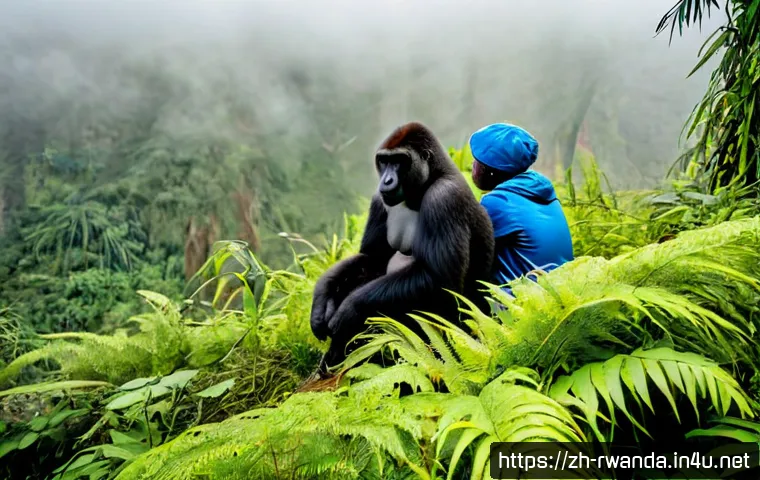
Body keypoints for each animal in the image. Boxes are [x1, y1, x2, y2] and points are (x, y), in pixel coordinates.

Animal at [309, 122, 495, 376]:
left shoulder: (444, 198)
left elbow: (439, 280)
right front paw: (323, 294)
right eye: (384, 161)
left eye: (399, 160)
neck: (430, 178)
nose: (386, 180)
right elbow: (372, 258)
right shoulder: (379, 199)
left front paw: (351, 309)